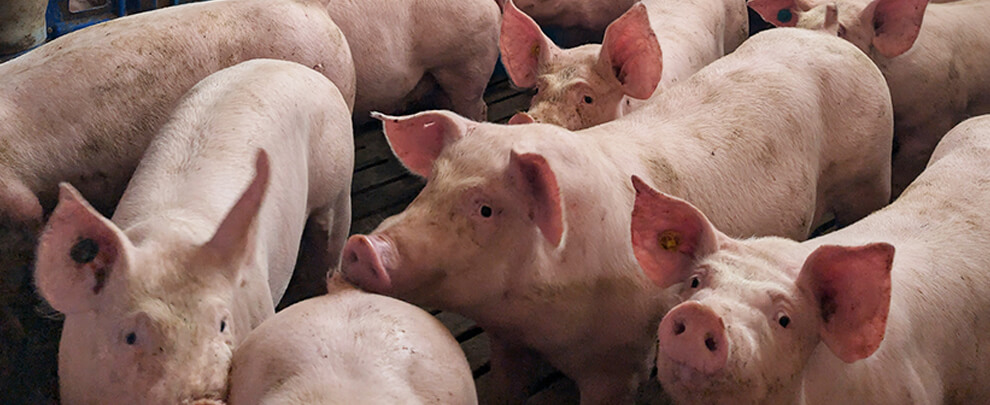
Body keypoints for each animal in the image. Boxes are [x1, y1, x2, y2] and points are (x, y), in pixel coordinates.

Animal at [33, 59, 355, 404]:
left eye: (222, 323)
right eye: (130, 336)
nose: (200, 398)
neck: (167, 236)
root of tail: (294, 66)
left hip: (337, 181)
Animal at [341, 27, 893, 404]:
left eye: (485, 208)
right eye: (430, 184)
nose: (363, 246)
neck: (534, 314)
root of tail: (826, 39)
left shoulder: (620, 360)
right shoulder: (508, 340)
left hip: (869, 174)